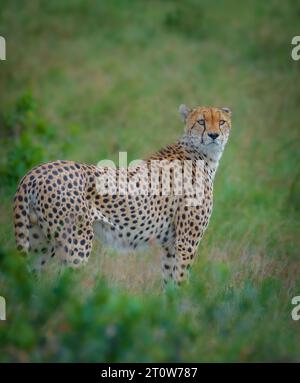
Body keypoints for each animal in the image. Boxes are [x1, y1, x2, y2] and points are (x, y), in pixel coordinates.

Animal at [12, 105, 231, 284]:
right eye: (201, 121)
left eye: (221, 122)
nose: (213, 135)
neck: (202, 155)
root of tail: (36, 171)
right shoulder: (186, 242)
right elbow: (181, 281)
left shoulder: (171, 244)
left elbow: (170, 284)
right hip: (76, 241)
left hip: (41, 241)